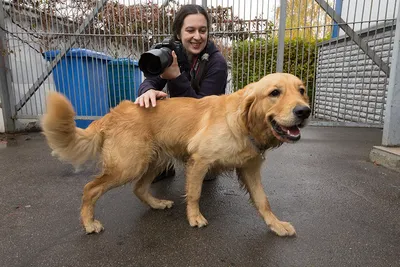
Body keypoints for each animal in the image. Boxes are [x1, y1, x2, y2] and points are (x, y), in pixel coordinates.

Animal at [41, 73, 310, 237]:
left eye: (302, 90)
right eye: (274, 93)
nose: (304, 111)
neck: (241, 123)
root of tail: (114, 112)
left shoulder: (250, 169)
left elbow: (263, 201)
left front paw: (276, 225)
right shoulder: (199, 160)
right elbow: (195, 193)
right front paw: (194, 217)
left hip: (153, 162)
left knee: (139, 188)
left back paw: (157, 203)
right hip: (128, 165)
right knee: (90, 188)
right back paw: (89, 223)